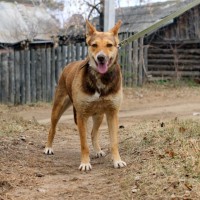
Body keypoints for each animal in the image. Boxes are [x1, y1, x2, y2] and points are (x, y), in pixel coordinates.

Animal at [44, 19, 126, 171]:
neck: (100, 78)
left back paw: (98, 150)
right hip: (58, 108)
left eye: (109, 45)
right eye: (94, 45)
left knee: (94, 133)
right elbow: (84, 144)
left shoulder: (112, 113)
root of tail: (69, 64)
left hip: (99, 115)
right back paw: (48, 148)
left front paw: (117, 161)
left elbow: (114, 142)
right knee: (52, 128)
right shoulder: (82, 115)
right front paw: (85, 163)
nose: (101, 58)